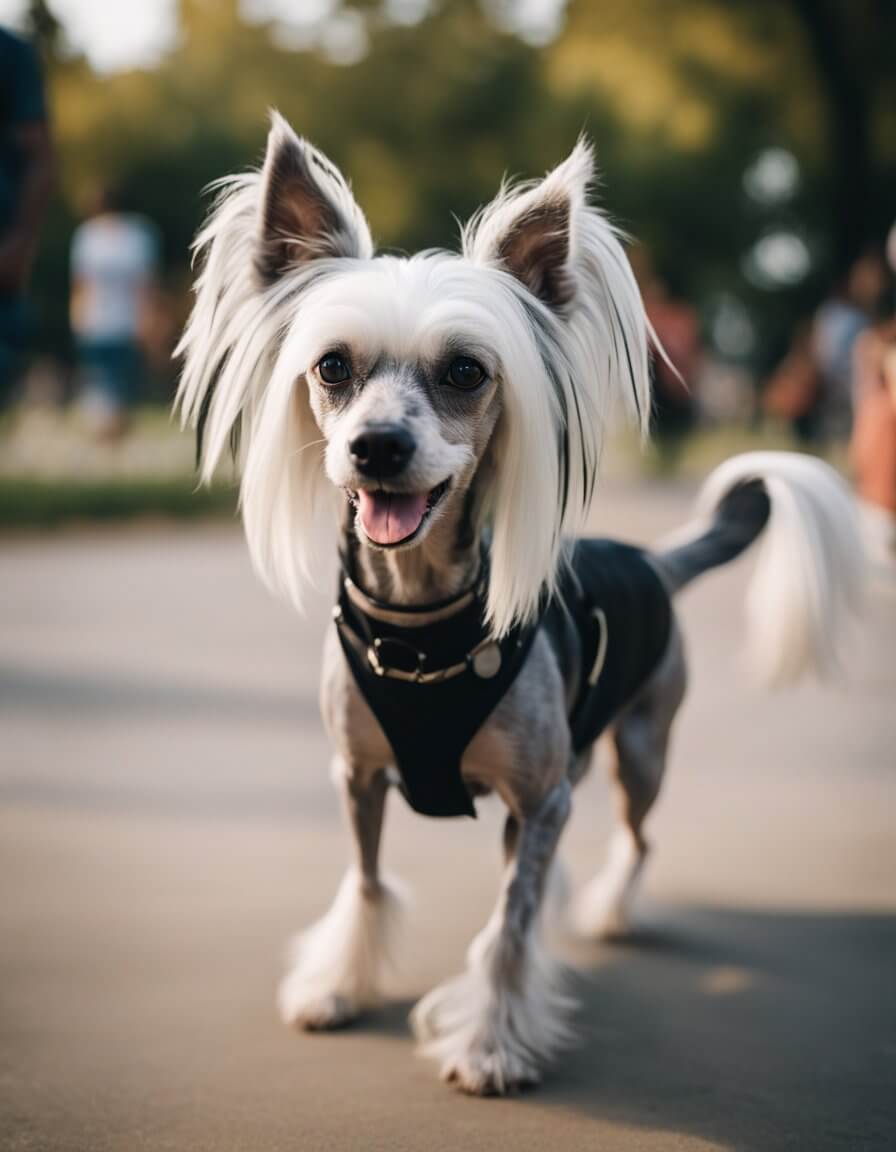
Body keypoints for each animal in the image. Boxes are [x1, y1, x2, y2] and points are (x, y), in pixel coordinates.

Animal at [171, 116, 861, 1096]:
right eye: (331, 367)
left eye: (466, 372)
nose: (377, 446)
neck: (420, 630)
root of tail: (651, 559)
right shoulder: (358, 777)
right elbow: (368, 885)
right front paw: (338, 987)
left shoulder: (539, 800)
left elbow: (506, 930)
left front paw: (491, 1044)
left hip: (639, 753)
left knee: (634, 843)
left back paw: (610, 912)